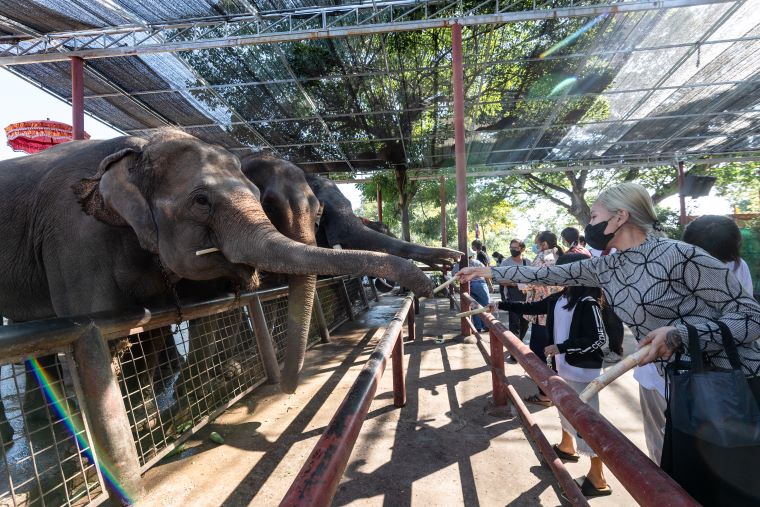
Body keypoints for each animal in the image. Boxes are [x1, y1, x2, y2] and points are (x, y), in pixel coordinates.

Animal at [0, 132, 434, 444]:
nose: (426, 283)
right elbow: (110, 335)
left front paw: (166, 419)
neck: (135, 148)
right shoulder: (73, 237)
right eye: (201, 201)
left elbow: (165, 324)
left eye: (318, 213)